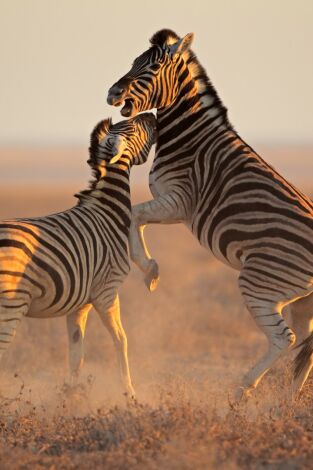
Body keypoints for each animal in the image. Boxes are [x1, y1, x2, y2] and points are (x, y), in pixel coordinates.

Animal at [0, 113, 156, 396]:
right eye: (133, 128)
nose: (151, 115)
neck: (107, 212)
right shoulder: (107, 291)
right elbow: (121, 340)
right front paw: (129, 393)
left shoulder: (79, 303)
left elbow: (76, 353)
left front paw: (70, 396)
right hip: (11, 304)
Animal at [107, 28, 312, 396]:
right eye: (134, 62)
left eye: (153, 66)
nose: (112, 93)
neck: (189, 136)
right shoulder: (175, 205)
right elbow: (137, 218)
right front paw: (150, 270)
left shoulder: (179, 200)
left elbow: (133, 215)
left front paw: (150, 270)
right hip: (303, 301)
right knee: (304, 342)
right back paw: (288, 399)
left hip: (261, 283)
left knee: (283, 339)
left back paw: (243, 389)